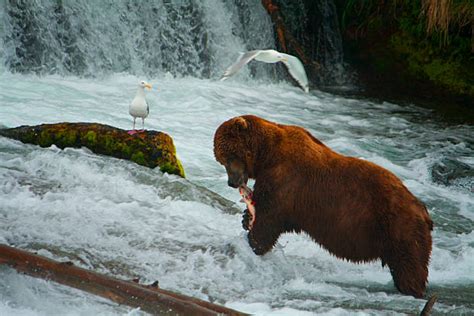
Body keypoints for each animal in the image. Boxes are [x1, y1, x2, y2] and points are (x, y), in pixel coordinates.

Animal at [215, 115, 434, 298]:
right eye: (221, 160)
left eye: (229, 157)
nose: (232, 182)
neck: (266, 154)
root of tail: (423, 210)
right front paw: (246, 218)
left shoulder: (285, 180)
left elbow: (270, 220)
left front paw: (253, 243)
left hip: (399, 228)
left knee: (410, 266)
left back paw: (413, 290)